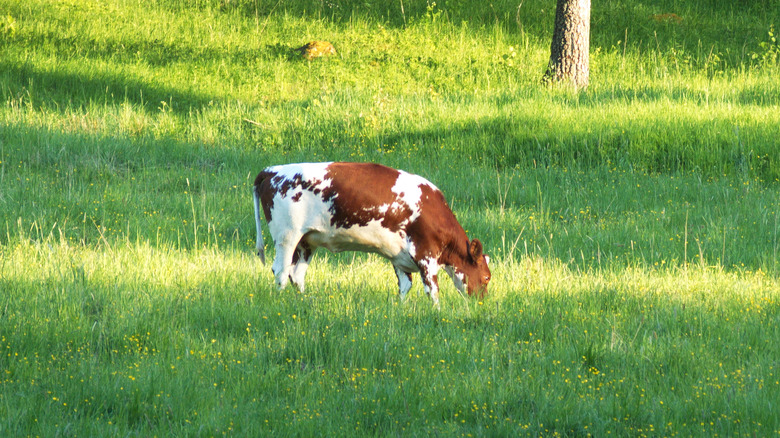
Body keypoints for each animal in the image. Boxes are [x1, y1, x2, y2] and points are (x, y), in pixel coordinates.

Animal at [253, 162, 491, 307]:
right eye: (487, 277)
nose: (482, 302)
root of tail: (272, 170)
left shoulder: (400, 257)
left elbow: (405, 286)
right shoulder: (426, 254)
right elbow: (432, 290)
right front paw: (437, 312)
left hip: (306, 242)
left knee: (296, 274)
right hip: (287, 237)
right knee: (281, 272)